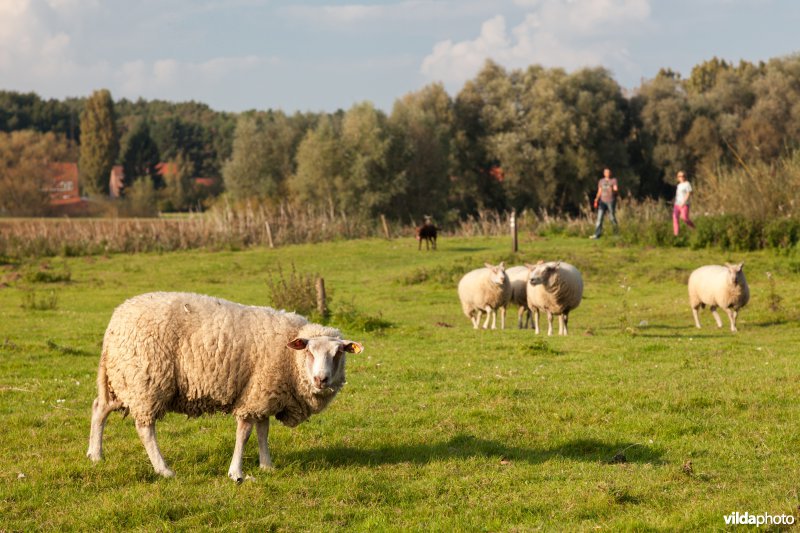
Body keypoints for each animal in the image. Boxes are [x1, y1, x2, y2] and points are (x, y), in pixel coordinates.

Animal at [86, 290, 362, 482]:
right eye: (309, 351)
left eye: (338, 353)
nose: (321, 380)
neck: (289, 356)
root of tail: (116, 319)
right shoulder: (255, 394)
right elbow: (245, 432)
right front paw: (236, 473)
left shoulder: (264, 392)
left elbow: (263, 430)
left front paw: (267, 466)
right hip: (146, 380)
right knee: (145, 429)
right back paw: (164, 470)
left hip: (122, 378)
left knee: (100, 408)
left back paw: (95, 455)